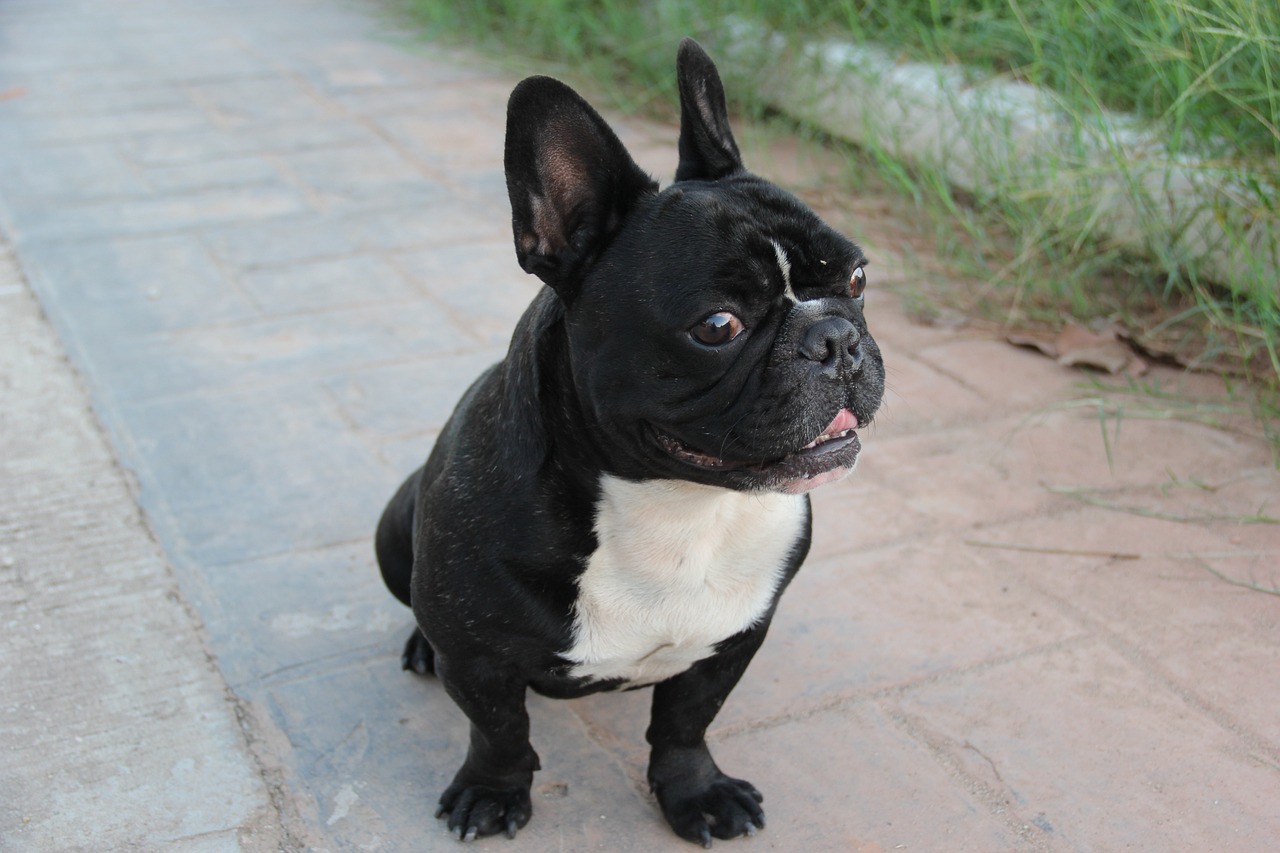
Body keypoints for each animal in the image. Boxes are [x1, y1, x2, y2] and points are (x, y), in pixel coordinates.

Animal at [376, 38, 880, 845]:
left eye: (858, 279)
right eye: (717, 325)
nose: (835, 336)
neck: (677, 506)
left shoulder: (732, 641)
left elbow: (684, 725)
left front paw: (695, 792)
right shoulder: (478, 662)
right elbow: (499, 730)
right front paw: (491, 789)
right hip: (396, 526)